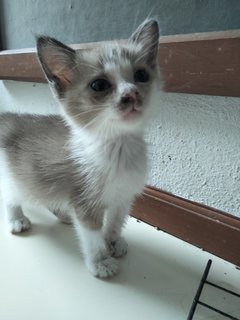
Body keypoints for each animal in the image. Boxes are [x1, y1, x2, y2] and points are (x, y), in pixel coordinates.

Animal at [0, 19, 161, 278]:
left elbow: (115, 221)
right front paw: (100, 262)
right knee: (11, 194)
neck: (119, 150)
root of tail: (7, 118)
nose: (131, 94)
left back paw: (62, 214)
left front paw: (113, 241)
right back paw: (17, 219)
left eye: (141, 75)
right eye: (99, 85)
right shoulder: (84, 203)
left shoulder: (123, 197)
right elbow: (92, 236)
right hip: (16, 176)